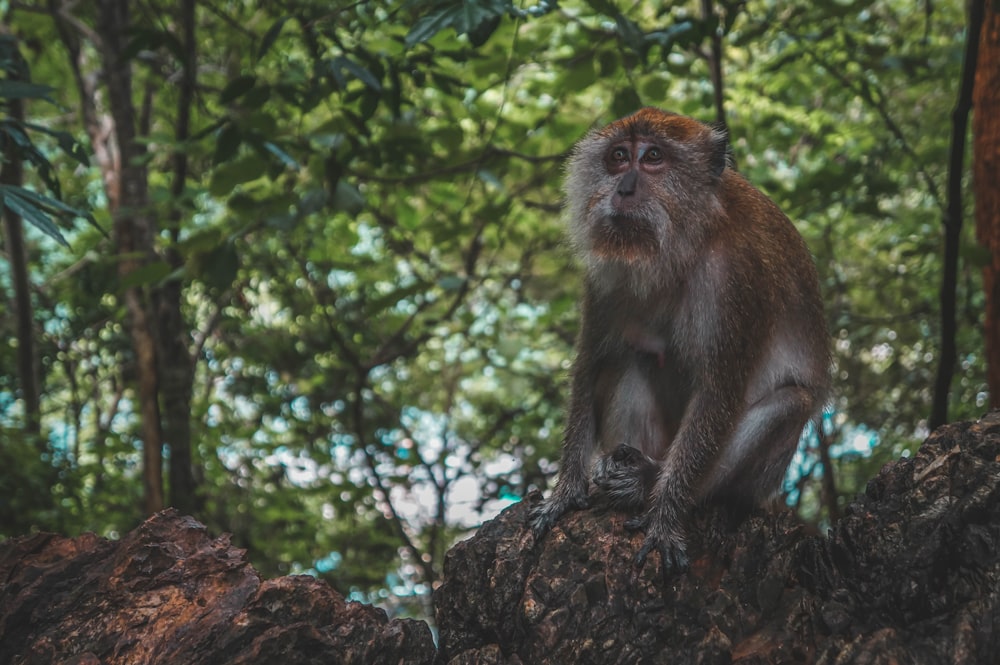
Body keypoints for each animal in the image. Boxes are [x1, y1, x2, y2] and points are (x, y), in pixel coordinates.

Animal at [528, 106, 832, 572]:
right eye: (619, 157)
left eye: (653, 157)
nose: (624, 188)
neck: (677, 246)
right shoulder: (602, 278)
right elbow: (590, 366)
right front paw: (564, 493)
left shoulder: (736, 277)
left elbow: (718, 394)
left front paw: (665, 519)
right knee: (631, 361)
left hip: (758, 483)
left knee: (790, 402)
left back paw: (646, 482)